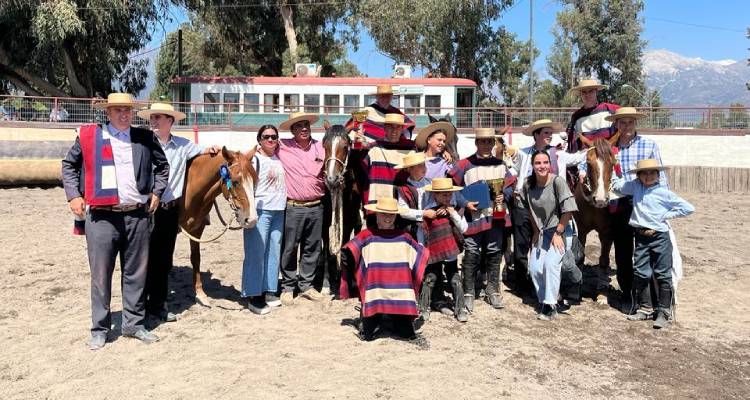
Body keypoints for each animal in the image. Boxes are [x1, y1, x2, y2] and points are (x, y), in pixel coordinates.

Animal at [180, 147, 260, 306]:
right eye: (235, 182)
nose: (252, 220)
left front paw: (200, 294)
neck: (189, 188)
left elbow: (196, 258)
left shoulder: (196, 229)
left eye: (255, 180)